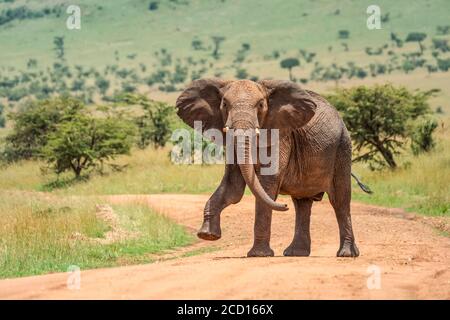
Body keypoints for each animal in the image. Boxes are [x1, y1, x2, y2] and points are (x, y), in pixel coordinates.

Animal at [174, 79, 370, 258]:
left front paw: (258, 255)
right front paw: (207, 235)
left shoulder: (280, 136)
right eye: (224, 104)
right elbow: (233, 187)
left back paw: (346, 254)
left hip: (342, 148)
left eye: (261, 105)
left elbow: (266, 185)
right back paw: (295, 253)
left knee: (340, 200)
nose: (283, 205)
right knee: (302, 203)